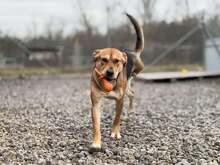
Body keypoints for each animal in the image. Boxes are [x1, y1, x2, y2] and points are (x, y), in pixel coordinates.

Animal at [89, 13, 144, 153]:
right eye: (103, 59)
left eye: (116, 61)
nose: (110, 72)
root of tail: (132, 53)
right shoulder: (96, 103)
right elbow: (96, 125)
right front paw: (96, 143)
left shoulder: (119, 100)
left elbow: (116, 118)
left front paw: (115, 132)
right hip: (127, 86)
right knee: (131, 93)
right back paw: (129, 112)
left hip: (136, 72)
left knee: (131, 91)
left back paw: (129, 112)